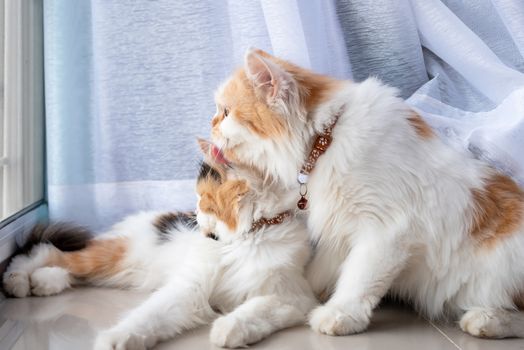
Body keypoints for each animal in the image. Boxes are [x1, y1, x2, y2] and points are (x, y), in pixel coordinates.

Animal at [3, 146, 316, 348]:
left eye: (203, 199)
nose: (195, 216)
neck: (242, 239)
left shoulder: (292, 297)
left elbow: (254, 311)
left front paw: (227, 330)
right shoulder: (189, 287)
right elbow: (148, 316)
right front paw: (114, 339)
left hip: (124, 272)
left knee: (69, 268)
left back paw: (44, 282)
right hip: (116, 256)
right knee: (48, 251)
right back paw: (18, 280)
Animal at [208, 47, 524, 338]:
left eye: (225, 112)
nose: (211, 127)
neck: (326, 140)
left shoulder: (387, 228)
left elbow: (358, 277)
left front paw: (339, 314)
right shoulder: (340, 226)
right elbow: (319, 275)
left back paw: (486, 319)